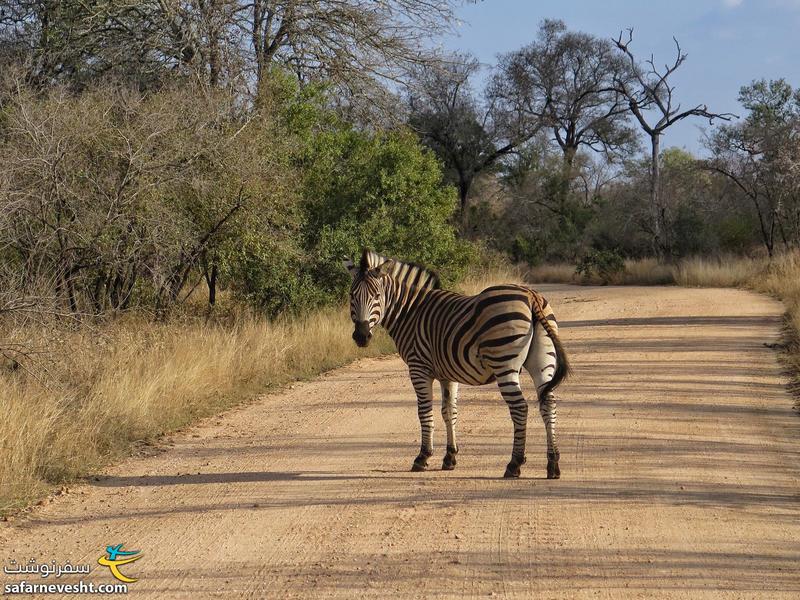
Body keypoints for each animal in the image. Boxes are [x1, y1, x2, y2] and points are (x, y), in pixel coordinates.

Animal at [344, 248, 568, 478]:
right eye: (352, 296)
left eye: (377, 296)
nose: (361, 336)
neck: (410, 312)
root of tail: (531, 296)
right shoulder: (448, 373)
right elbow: (448, 411)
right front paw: (450, 457)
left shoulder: (418, 368)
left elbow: (425, 411)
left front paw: (423, 457)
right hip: (543, 362)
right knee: (548, 403)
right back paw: (553, 464)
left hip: (504, 364)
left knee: (520, 408)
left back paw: (514, 464)